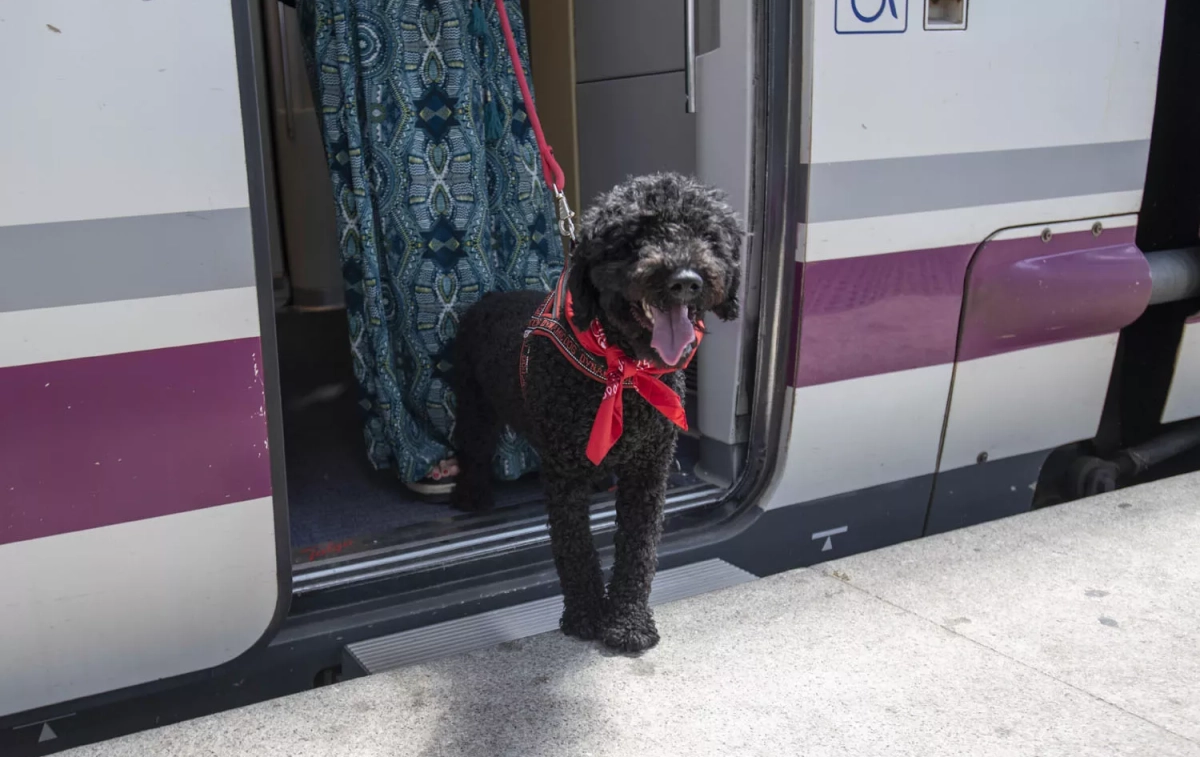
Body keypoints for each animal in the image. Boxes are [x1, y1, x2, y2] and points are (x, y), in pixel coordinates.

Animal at [453, 172, 744, 652]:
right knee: (471, 449)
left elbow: (639, 548)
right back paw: (472, 498)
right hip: (473, 404)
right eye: (633, 239)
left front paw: (628, 621)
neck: (621, 370)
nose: (685, 280)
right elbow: (574, 548)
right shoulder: (563, 473)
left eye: (707, 235)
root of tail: (487, 299)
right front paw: (587, 615)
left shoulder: (649, 467)